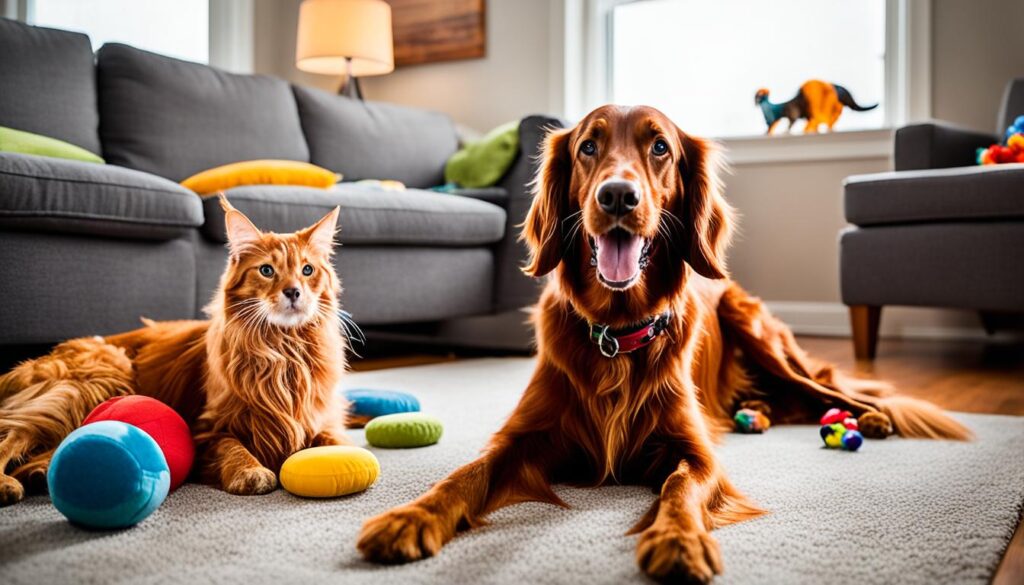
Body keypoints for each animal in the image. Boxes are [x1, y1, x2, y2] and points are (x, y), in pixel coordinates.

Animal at [0, 197, 348, 504]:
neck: (284, 351)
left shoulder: (321, 419)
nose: (293, 292)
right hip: (95, 382)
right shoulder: (206, 431)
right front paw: (250, 471)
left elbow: (335, 439)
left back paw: (38, 474)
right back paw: (9, 484)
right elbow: (232, 446)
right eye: (266, 271)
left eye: (307, 271)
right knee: (13, 435)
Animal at [358, 105, 966, 581]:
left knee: (820, 388)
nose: (618, 197)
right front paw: (410, 517)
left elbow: (681, 490)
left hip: (754, 329)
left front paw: (679, 540)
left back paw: (870, 415)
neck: (616, 334)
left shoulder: (695, 453)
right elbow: (463, 475)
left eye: (659, 147)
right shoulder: (521, 437)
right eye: (587, 146)